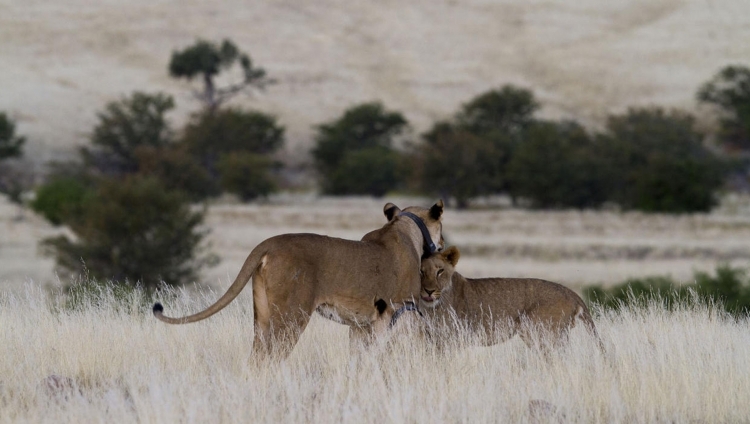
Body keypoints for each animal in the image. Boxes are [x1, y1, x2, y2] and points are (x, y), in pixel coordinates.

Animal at [155, 200, 444, 356]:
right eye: (442, 227)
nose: (442, 244)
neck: (406, 229)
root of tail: (269, 243)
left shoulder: (360, 324)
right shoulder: (399, 312)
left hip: (262, 315)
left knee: (256, 358)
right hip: (292, 315)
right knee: (270, 357)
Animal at [418, 245, 604, 352]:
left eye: (440, 271)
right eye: (421, 271)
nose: (429, 291)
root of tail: (572, 293)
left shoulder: (453, 338)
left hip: (541, 334)